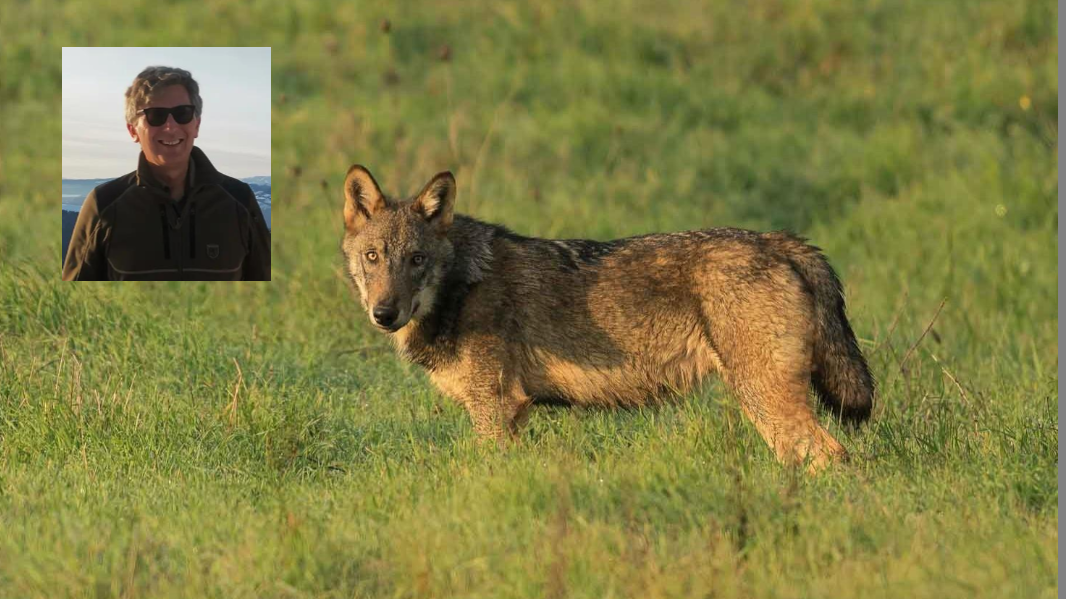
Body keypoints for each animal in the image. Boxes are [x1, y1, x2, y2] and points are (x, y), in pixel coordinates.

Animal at [340, 165, 874, 471]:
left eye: (416, 260)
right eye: (373, 257)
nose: (384, 313)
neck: (459, 288)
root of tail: (778, 241)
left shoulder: (496, 409)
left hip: (763, 399)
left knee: (831, 457)